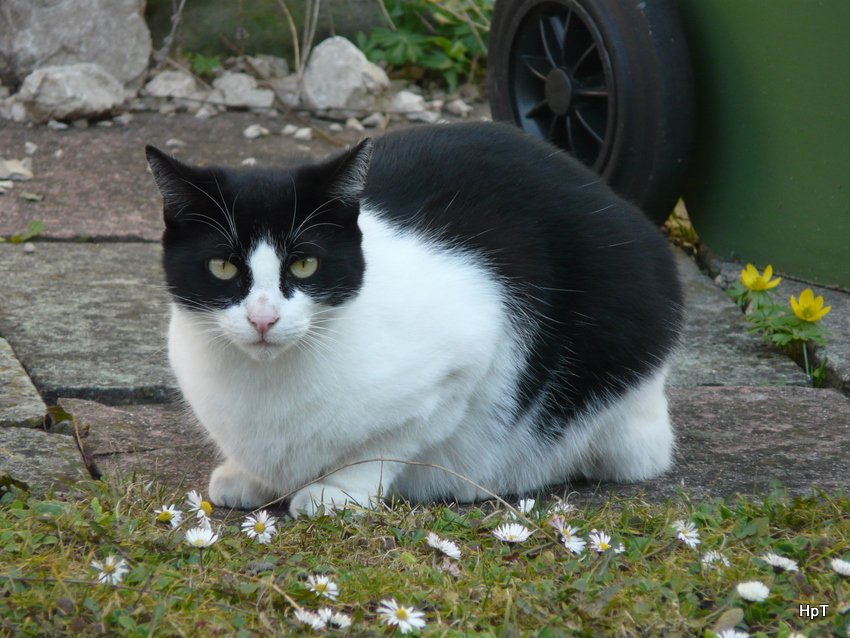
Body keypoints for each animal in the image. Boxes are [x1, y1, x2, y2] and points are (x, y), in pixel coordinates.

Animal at [146, 122, 684, 516]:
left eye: (304, 265)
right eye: (222, 267)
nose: (263, 318)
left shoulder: (463, 360)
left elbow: (385, 445)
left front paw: (337, 491)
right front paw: (252, 477)